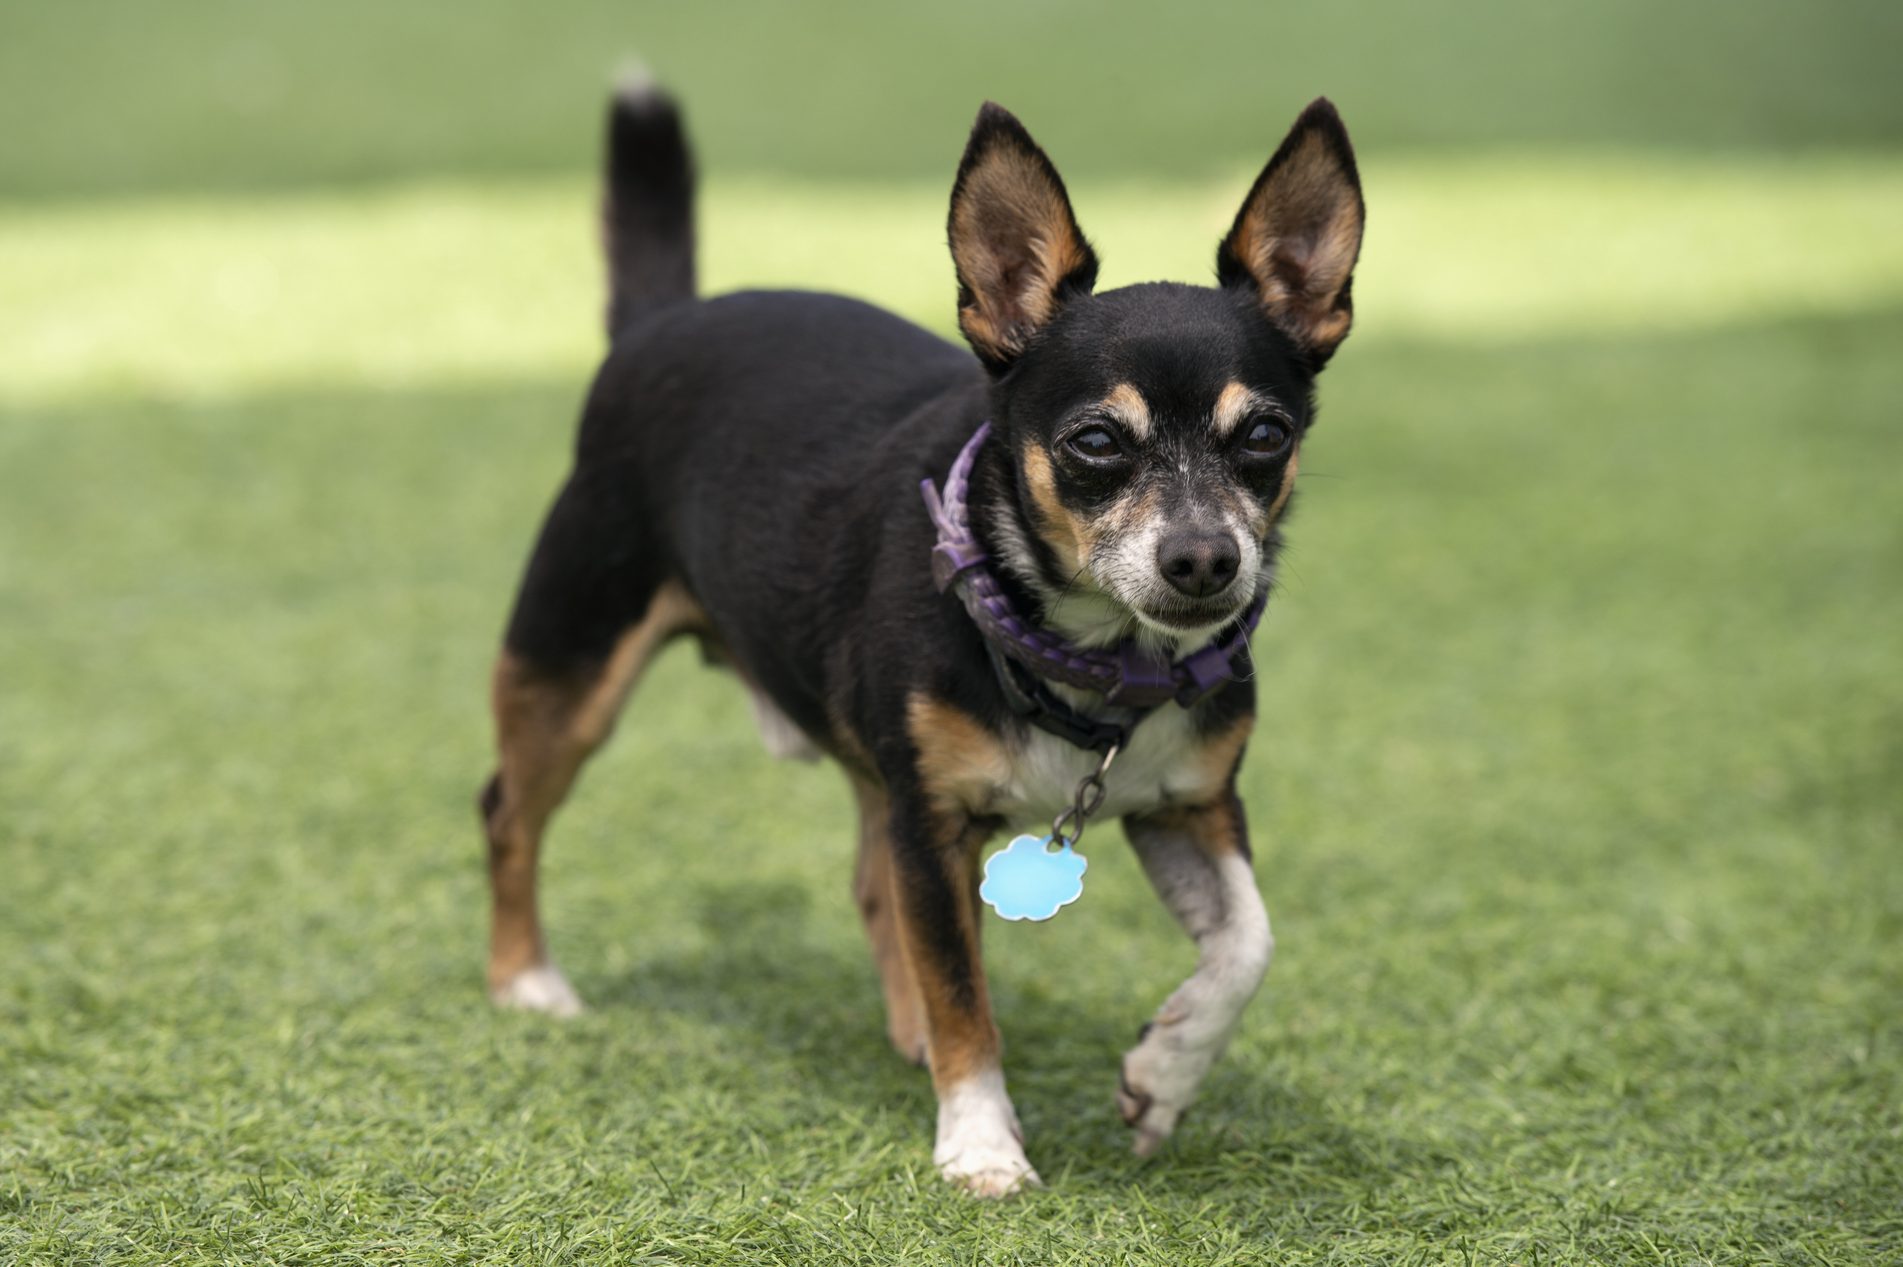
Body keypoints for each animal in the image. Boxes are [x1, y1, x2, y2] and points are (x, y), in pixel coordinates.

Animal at [483, 81, 1362, 1194]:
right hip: (570, 660)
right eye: (1094, 443)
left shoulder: (1191, 804)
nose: (1206, 559)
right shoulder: (935, 824)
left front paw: (1164, 1073)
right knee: (508, 809)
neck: (1091, 663)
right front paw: (981, 1141)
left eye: (1264, 437)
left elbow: (1249, 942)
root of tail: (664, 317)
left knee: (871, 884)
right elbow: (960, 989)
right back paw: (524, 980)